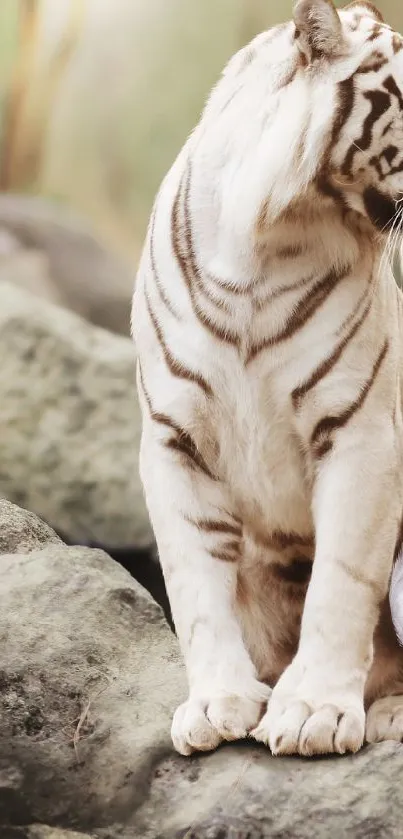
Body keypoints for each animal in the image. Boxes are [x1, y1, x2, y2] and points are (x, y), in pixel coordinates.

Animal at [132, 0, 403, 760]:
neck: (270, 237)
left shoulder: (361, 432)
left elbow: (341, 580)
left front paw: (314, 711)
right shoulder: (173, 438)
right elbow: (194, 582)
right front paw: (216, 703)